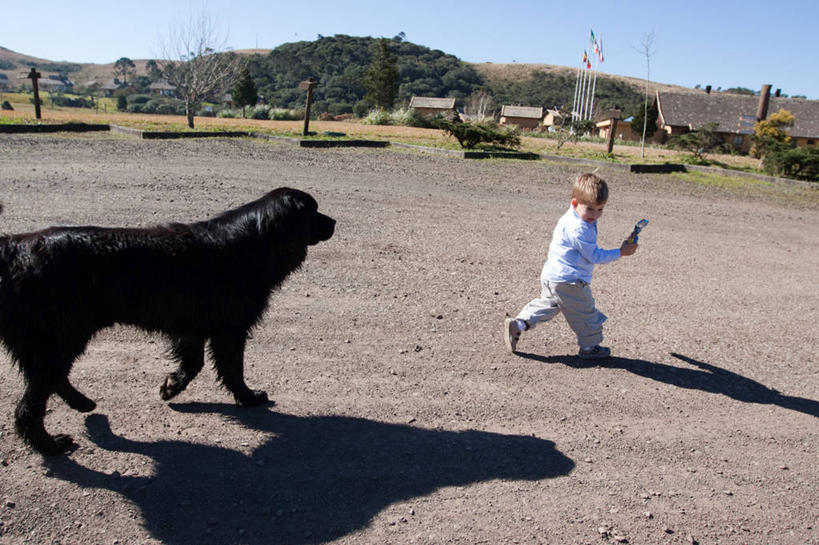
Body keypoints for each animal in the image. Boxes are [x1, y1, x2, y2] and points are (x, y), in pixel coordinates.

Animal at [0, 187, 334, 454]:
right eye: (313, 211)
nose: (334, 222)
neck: (249, 245)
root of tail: (13, 249)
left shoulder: (193, 327)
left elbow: (194, 363)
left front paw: (171, 387)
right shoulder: (230, 329)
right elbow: (232, 369)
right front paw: (248, 397)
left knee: (52, 379)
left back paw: (83, 405)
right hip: (60, 336)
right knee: (30, 405)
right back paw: (51, 445)